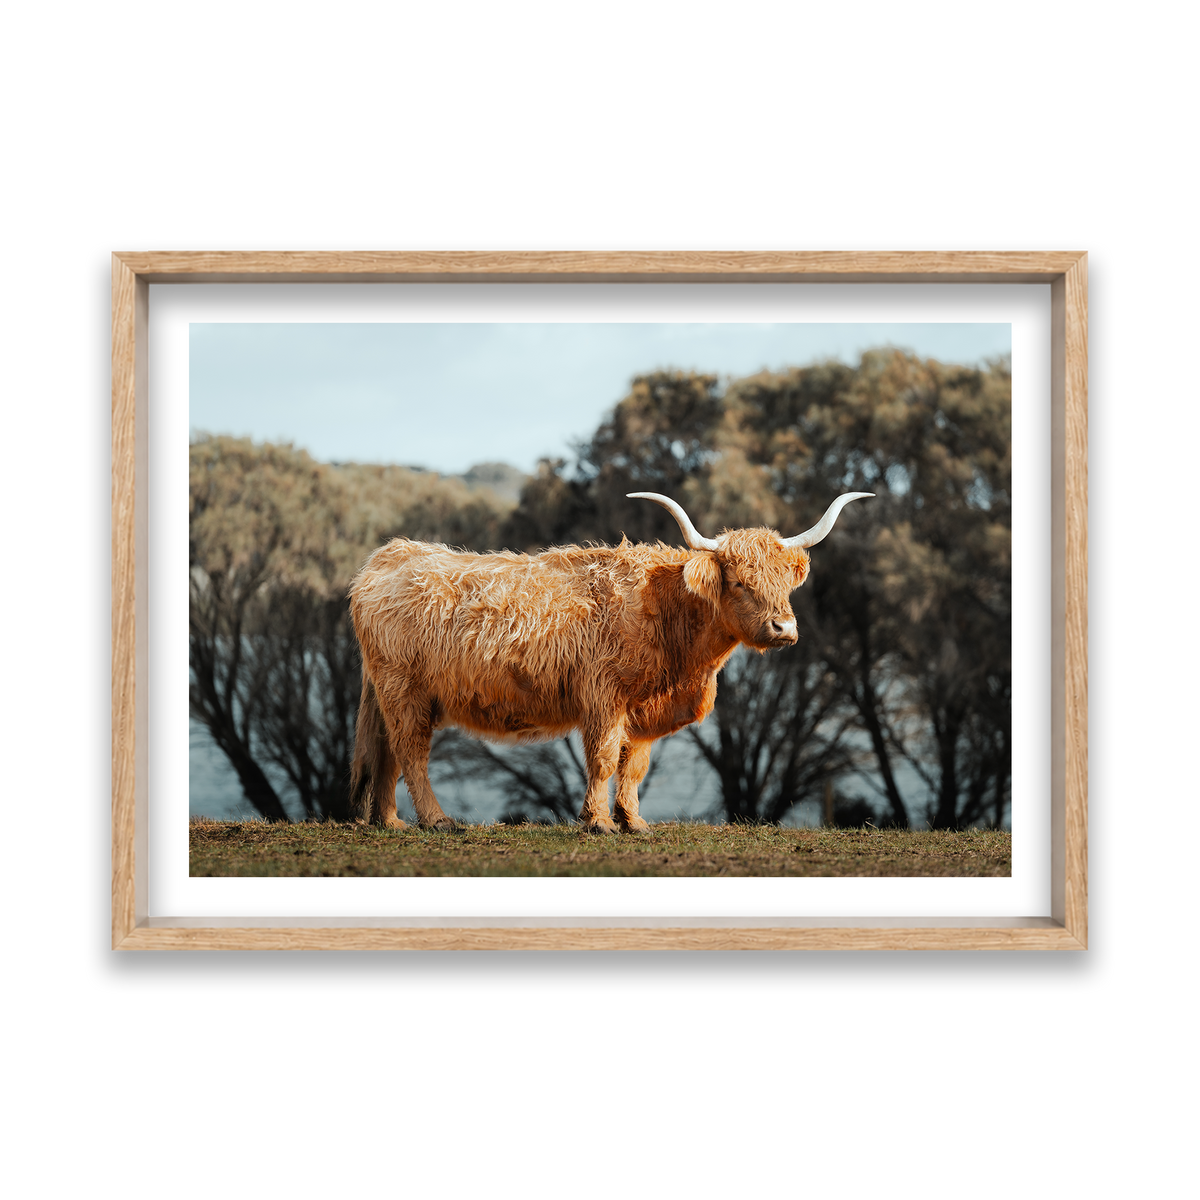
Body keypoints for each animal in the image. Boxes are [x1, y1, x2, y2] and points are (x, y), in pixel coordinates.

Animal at [347, 490, 872, 833]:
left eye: (785, 582)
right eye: (741, 582)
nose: (784, 628)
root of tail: (390, 554)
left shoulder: (643, 708)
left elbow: (633, 765)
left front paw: (634, 821)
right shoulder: (604, 696)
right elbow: (602, 759)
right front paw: (598, 822)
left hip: (392, 693)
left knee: (387, 752)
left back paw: (390, 822)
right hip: (405, 690)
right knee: (411, 752)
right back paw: (437, 821)